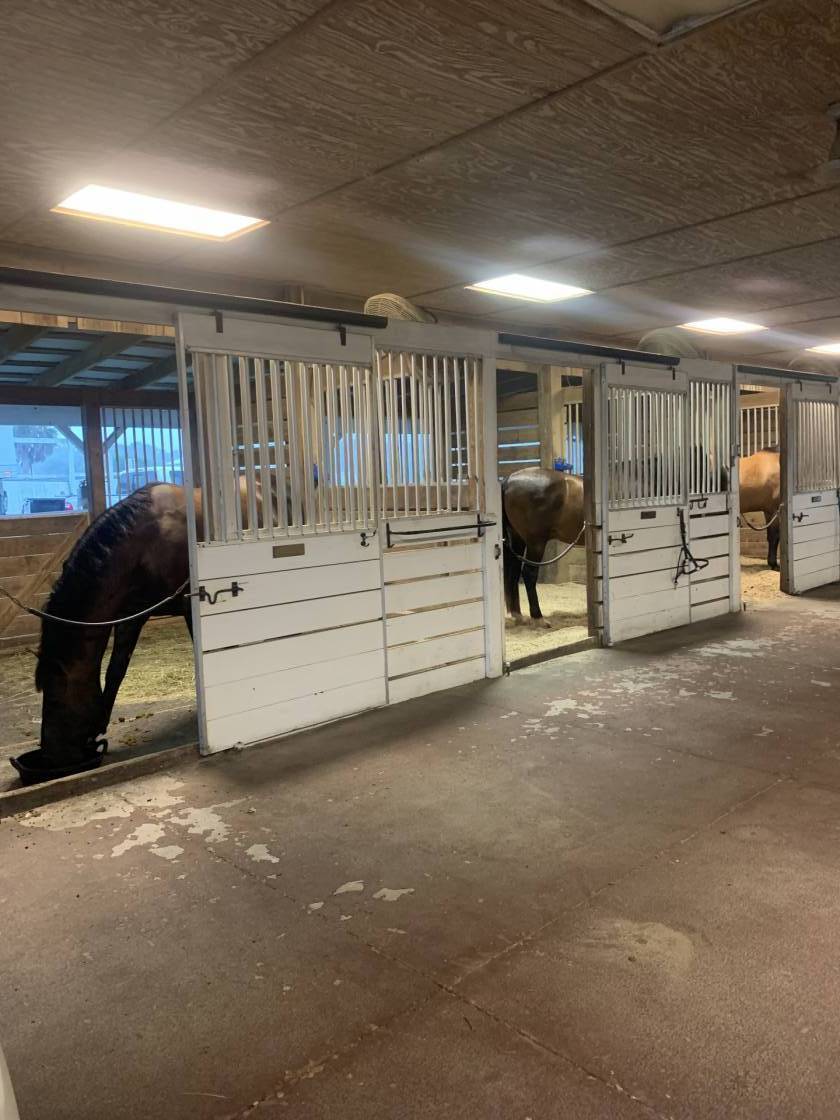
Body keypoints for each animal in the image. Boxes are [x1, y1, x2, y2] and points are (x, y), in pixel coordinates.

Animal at [502, 467, 584, 626]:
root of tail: (509, 480)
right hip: (536, 543)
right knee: (529, 573)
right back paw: (538, 617)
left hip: (518, 538)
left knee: (514, 571)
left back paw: (517, 615)